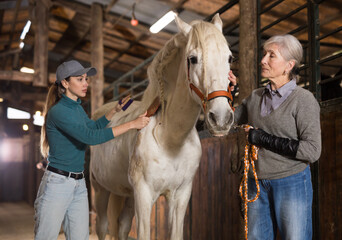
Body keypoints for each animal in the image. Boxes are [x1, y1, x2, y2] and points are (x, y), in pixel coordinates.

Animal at [90, 14, 235, 239]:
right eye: (193, 59)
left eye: (229, 58)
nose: (221, 118)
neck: (170, 137)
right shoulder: (143, 195)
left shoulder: (180, 196)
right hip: (101, 190)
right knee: (102, 226)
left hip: (126, 194)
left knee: (122, 225)